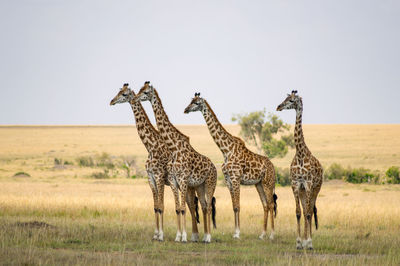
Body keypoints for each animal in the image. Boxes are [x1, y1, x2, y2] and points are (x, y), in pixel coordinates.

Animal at [109, 84, 202, 242]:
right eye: (118, 91)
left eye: (124, 94)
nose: (112, 101)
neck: (151, 146)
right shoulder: (150, 178)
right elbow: (155, 206)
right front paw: (156, 234)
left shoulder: (159, 177)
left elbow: (161, 206)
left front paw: (161, 235)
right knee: (190, 205)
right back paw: (193, 235)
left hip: (188, 184)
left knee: (191, 205)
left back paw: (192, 236)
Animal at [134, 81, 217, 243]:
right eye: (140, 89)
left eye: (145, 92)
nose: (135, 98)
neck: (174, 148)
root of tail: (215, 168)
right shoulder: (172, 180)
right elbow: (178, 208)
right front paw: (178, 236)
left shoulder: (180, 179)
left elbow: (179, 208)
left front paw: (181, 237)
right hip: (199, 186)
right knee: (202, 206)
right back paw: (202, 236)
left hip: (210, 184)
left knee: (208, 207)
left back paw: (208, 237)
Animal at [185, 92, 276, 240]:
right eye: (191, 101)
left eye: (196, 103)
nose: (185, 109)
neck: (226, 150)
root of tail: (273, 168)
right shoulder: (228, 180)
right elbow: (234, 206)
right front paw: (235, 232)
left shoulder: (235, 178)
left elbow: (238, 205)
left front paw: (238, 233)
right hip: (259, 184)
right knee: (265, 205)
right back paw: (262, 234)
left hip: (268, 182)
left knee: (271, 204)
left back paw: (272, 234)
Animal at [276, 91, 324, 249]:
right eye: (285, 98)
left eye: (291, 100)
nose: (279, 107)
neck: (300, 154)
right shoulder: (296, 184)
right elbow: (298, 212)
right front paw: (298, 242)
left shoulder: (308, 184)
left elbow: (308, 213)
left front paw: (308, 242)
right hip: (303, 191)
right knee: (305, 210)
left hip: (316, 188)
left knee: (310, 210)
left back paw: (309, 241)